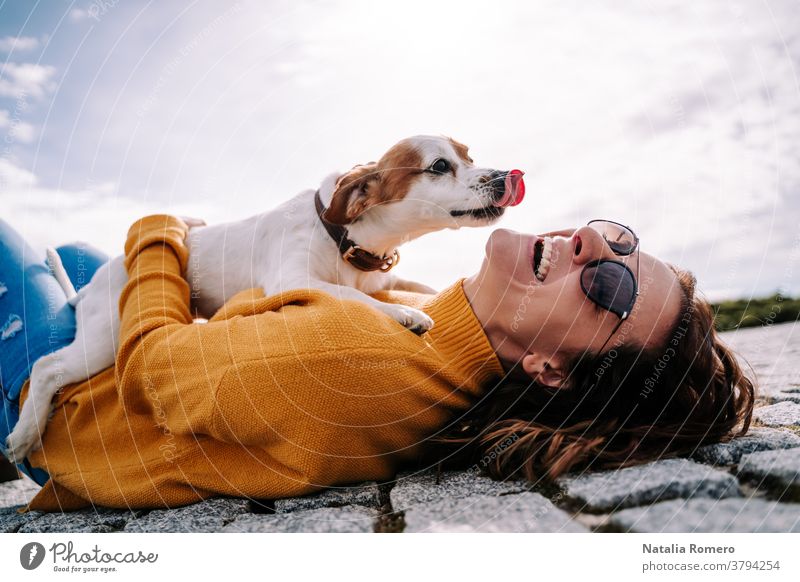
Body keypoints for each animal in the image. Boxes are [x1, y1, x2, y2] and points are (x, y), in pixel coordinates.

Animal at [4, 136, 524, 460]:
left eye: (470, 155)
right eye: (439, 166)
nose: (505, 176)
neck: (346, 238)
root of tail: (91, 284)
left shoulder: (379, 276)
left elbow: (416, 289)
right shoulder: (293, 279)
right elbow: (351, 296)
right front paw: (402, 313)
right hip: (104, 339)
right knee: (45, 368)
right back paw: (24, 435)